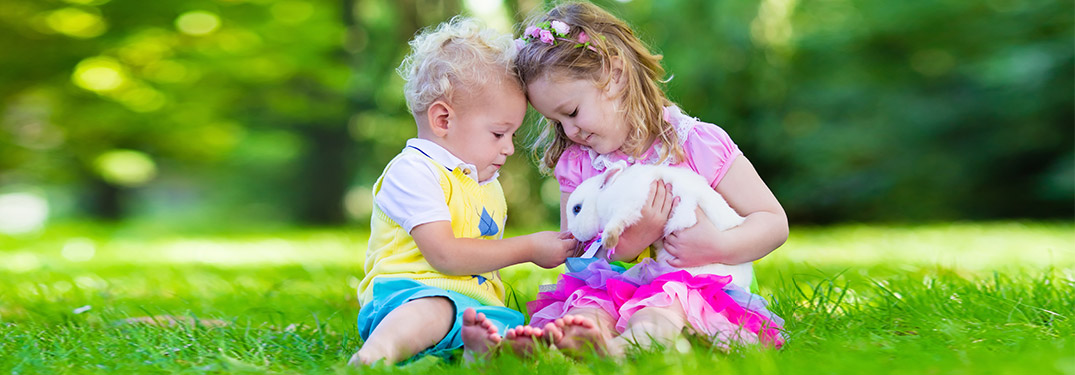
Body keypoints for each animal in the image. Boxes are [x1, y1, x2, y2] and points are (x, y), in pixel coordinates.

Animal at [563, 161, 756, 290]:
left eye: (577, 209)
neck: (602, 199)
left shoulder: (630, 204)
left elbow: (617, 222)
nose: (573, 234)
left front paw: (608, 240)